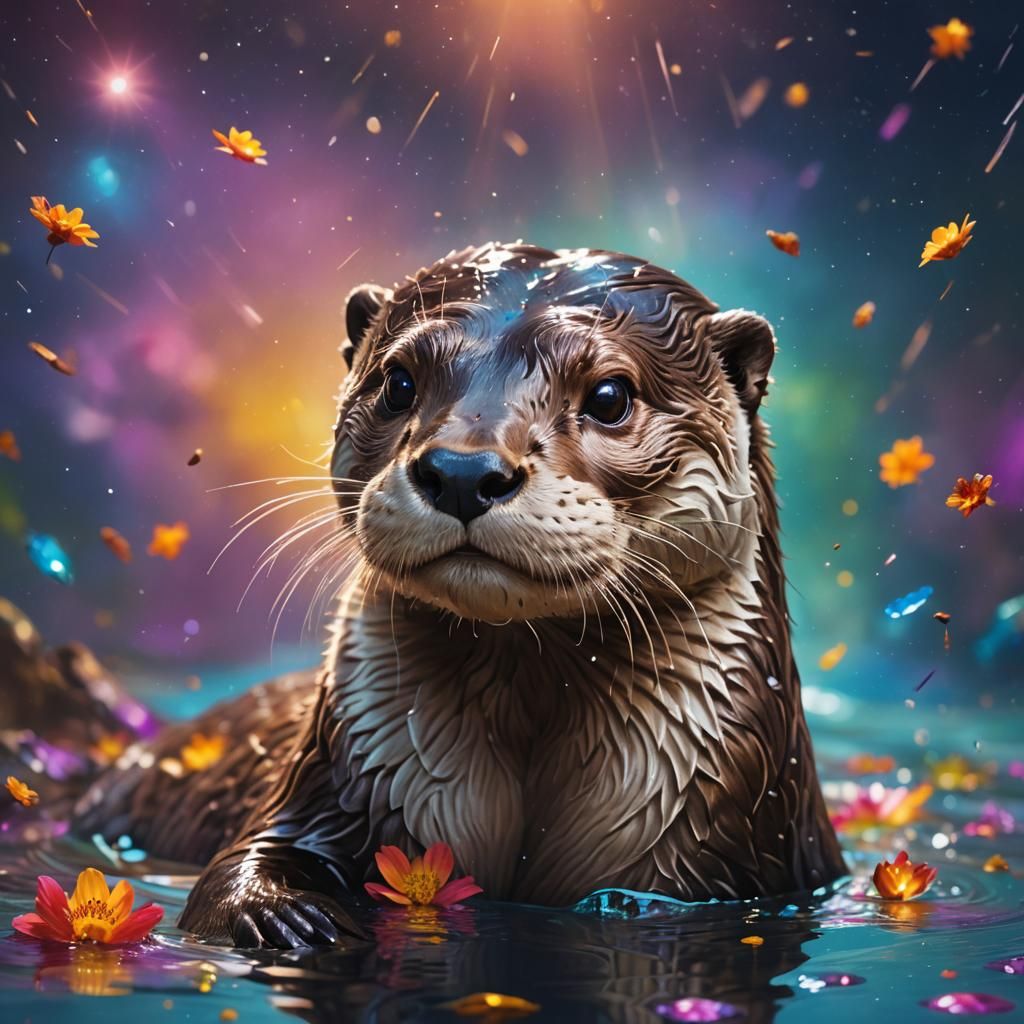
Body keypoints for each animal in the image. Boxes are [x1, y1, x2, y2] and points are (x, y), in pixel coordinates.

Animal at [74, 242, 845, 948]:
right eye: (398, 382)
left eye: (609, 396)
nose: (464, 471)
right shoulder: (327, 789)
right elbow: (239, 867)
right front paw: (281, 916)